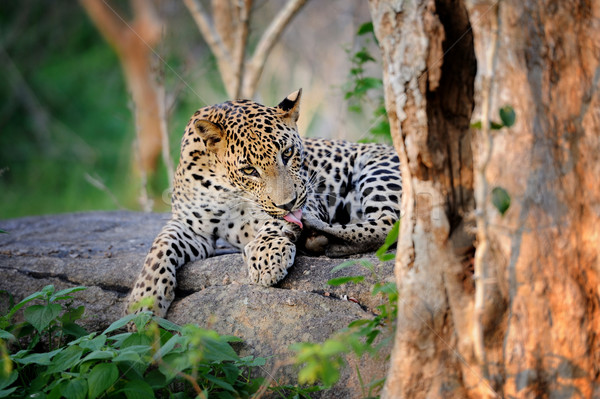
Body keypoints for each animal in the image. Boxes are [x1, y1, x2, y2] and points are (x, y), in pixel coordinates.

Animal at [127, 89, 400, 318]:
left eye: (288, 153)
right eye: (249, 169)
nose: (288, 203)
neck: (229, 187)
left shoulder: (309, 197)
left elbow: (276, 221)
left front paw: (267, 255)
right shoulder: (190, 226)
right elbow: (160, 247)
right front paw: (142, 302)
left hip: (379, 167)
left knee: (387, 224)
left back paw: (319, 237)